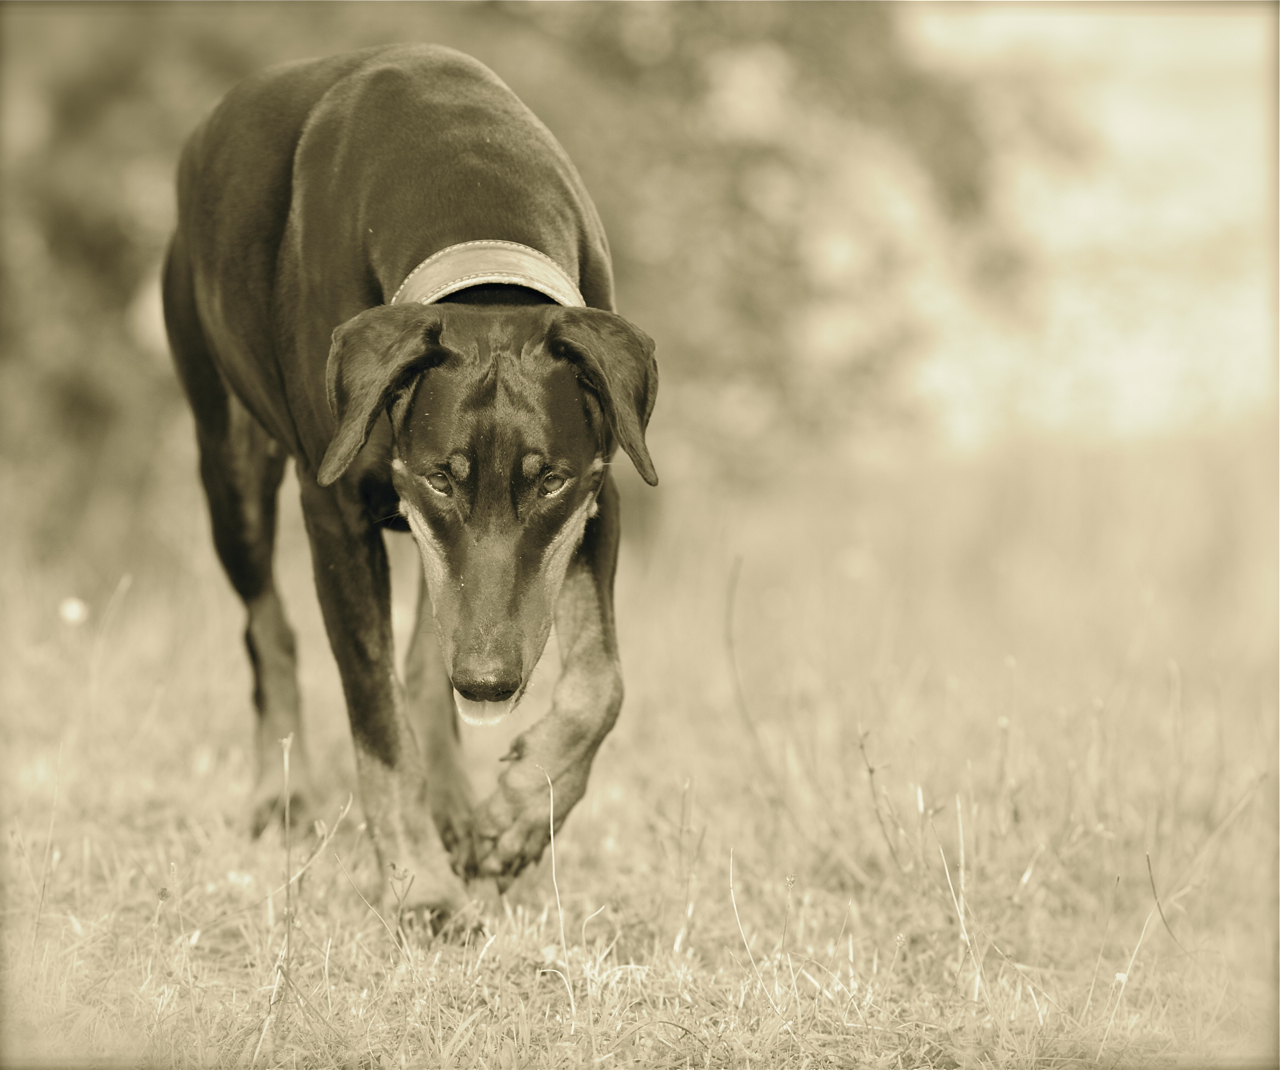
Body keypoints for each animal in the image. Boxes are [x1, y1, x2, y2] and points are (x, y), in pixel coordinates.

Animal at [161, 46, 660, 921]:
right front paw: (421, 889)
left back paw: (459, 804)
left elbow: (600, 681)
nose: (490, 682)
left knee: (430, 659)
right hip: (228, 459)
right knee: (269, 628)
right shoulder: (335, 513)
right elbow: (377, 718)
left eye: (550, 482)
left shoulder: (600, 490)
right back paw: (279, 798)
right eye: (440, 477)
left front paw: (518, 811)